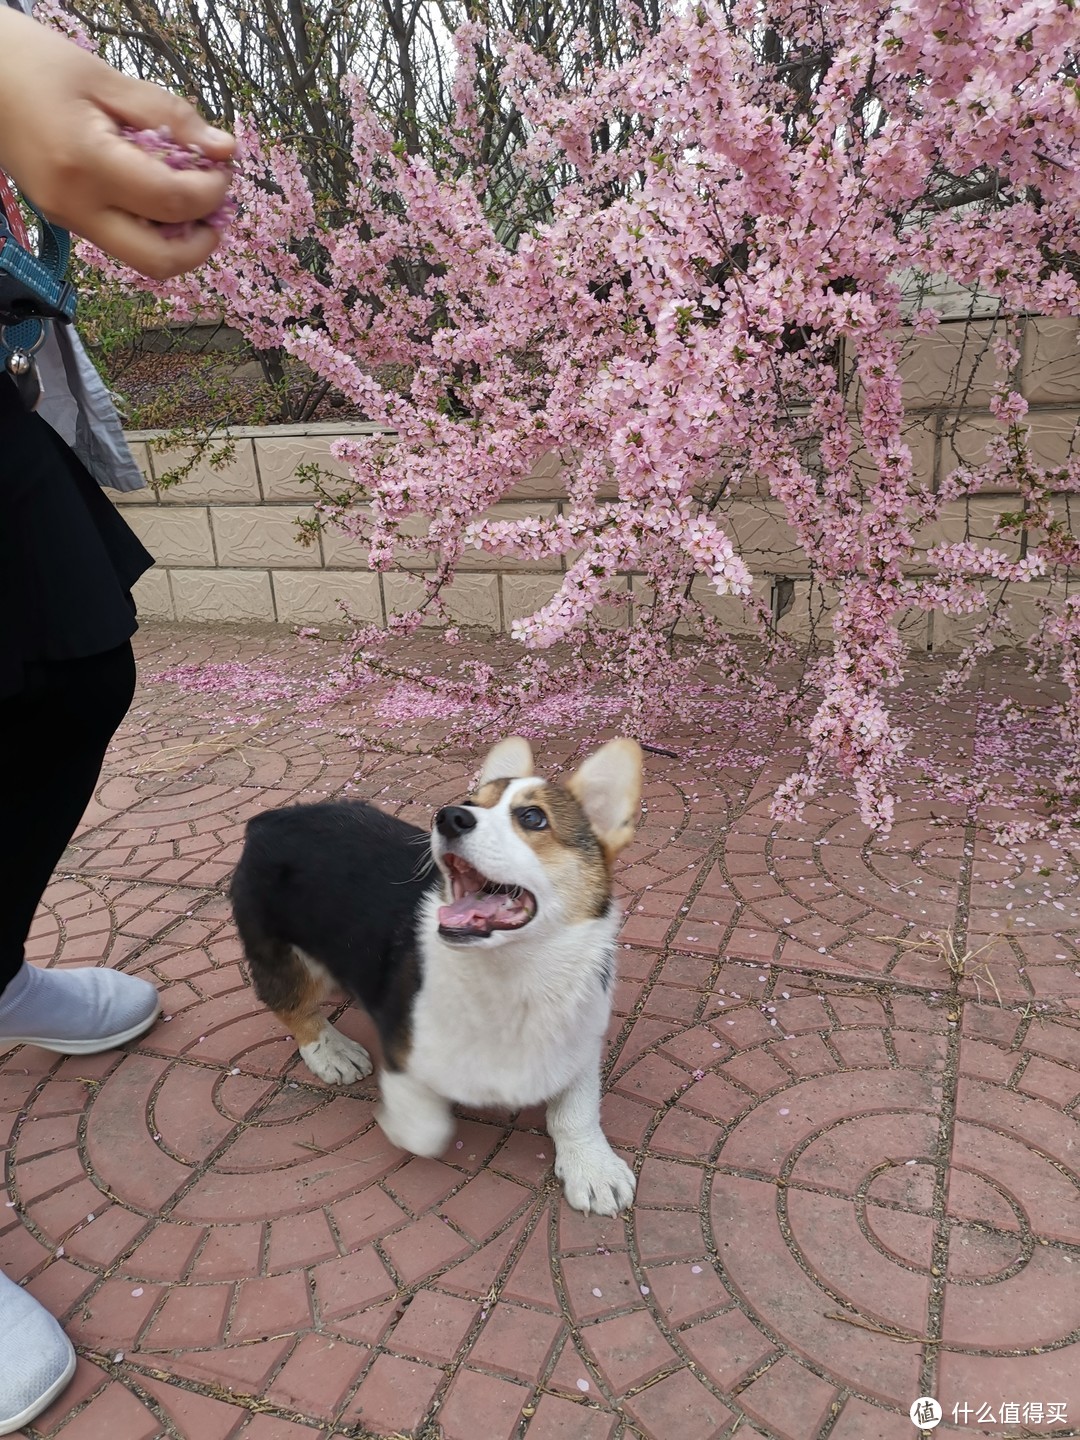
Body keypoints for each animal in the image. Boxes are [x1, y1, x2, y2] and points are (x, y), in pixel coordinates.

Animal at [230, 737, 642, 1209]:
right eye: (471, 803)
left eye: (532, 817)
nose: (449, 816)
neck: (515, 971)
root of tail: (269, 819)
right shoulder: (403, 1043)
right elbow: (424, 1127)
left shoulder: (582, 1039)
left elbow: (578, 1107)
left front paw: (593, 1168)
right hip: (286, 954)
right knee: (290, 1005)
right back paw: (331, 1051)